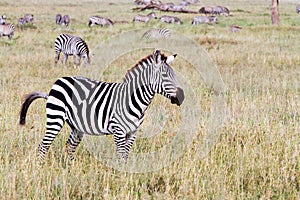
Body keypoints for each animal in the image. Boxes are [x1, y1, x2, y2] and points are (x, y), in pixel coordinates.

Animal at [19, 49, 184, 164]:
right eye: (165, 76)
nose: (181, 97)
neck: (134, 100)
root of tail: (58, 82)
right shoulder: (119, 130)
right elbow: (121, 155)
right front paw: (121, 178)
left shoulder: (133, 132)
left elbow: (126, 155)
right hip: (55, 118)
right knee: (43, 145)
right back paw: (40, 168)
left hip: (76, 126)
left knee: (69, 146)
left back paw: (71, 170)